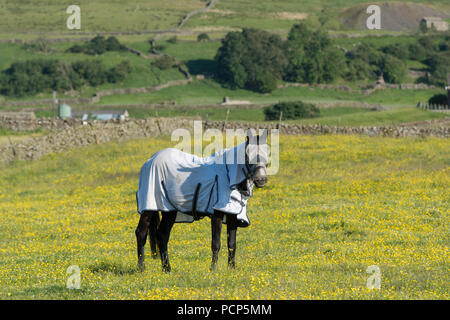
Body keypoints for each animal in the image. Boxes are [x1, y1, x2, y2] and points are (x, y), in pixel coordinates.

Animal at [134, 130, 268, 272]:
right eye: (248, 154)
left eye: (268, 152)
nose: (261, 180)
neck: (228, 175)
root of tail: (150, 161)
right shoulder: (217, 214)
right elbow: (216, 243)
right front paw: (213, 269)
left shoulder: (232, 214)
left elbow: (232, 243)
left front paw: (232, 269)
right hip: (149, 207)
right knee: (141, 233)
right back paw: (141, 268)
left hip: (169, 211)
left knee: (162, 235)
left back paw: (167, 269)